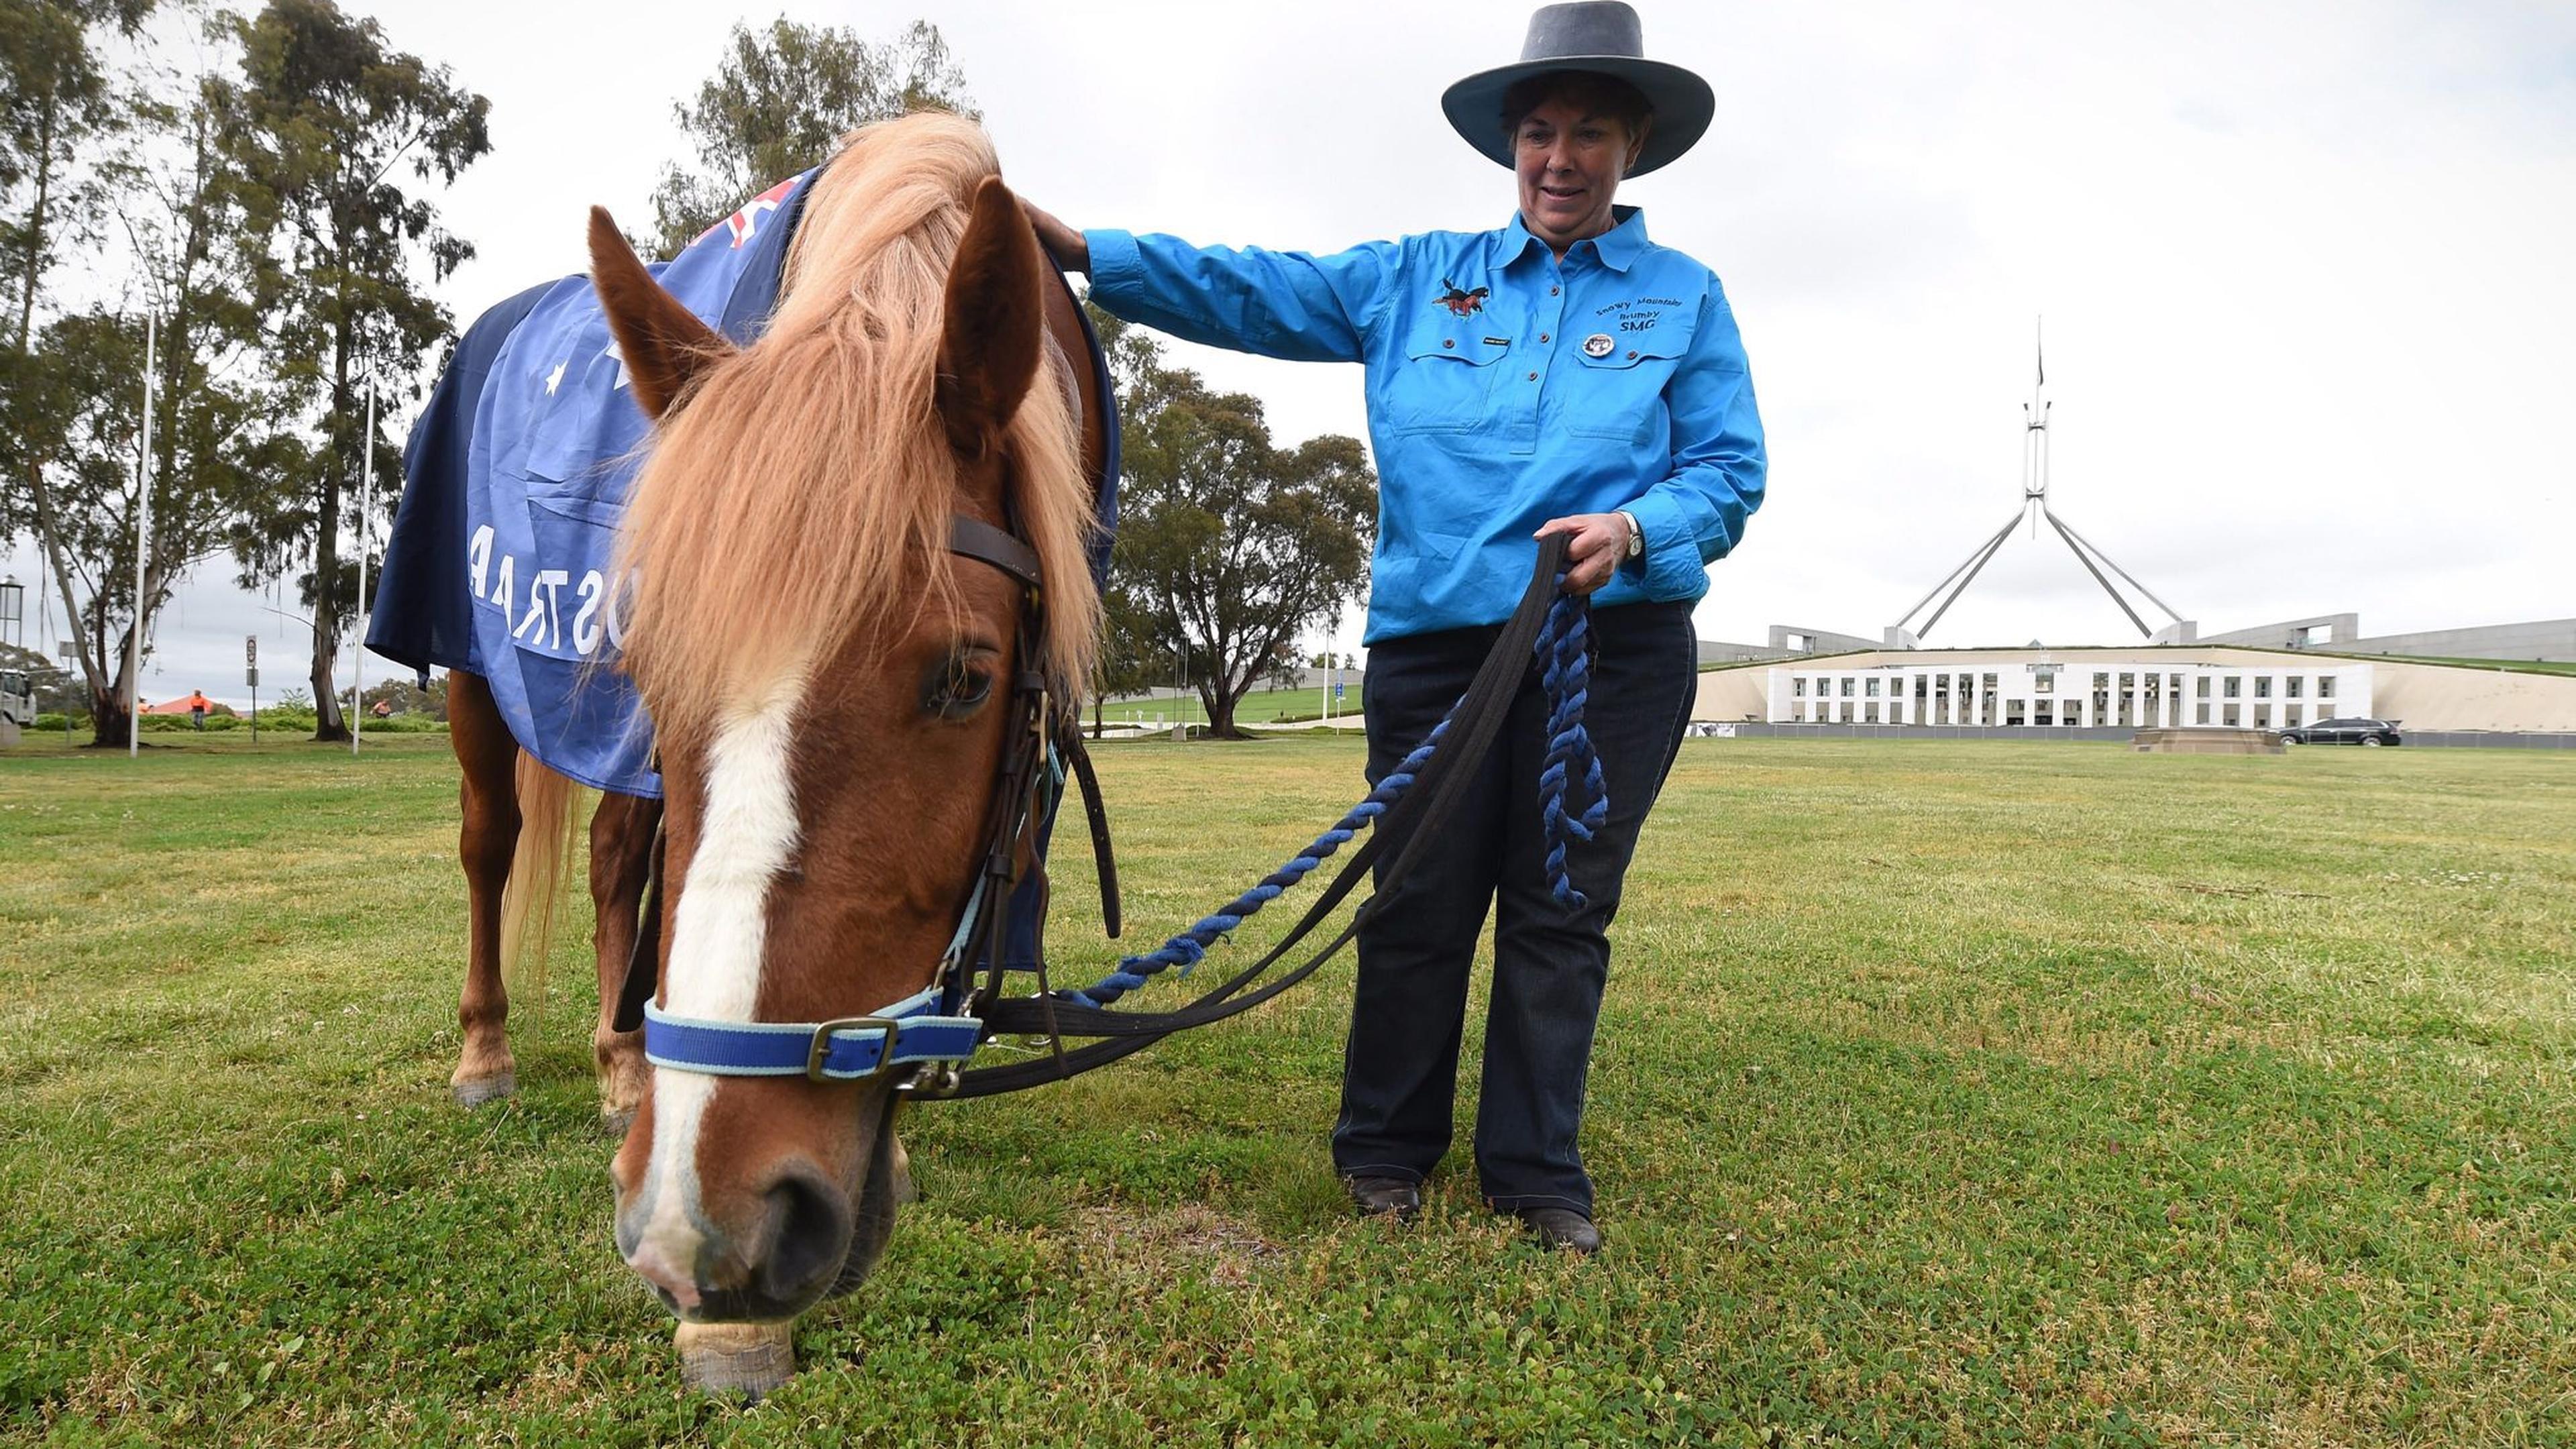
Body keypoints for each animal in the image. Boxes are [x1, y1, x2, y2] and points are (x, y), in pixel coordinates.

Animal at [425, 115, 1108, 1392]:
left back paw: (618, 1063)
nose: (706, 1226)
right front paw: (727, 1328)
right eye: (650, 668)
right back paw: (488, 1055)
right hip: (469, 673)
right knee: (491, 846)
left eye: (966, 679)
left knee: (613, 857)